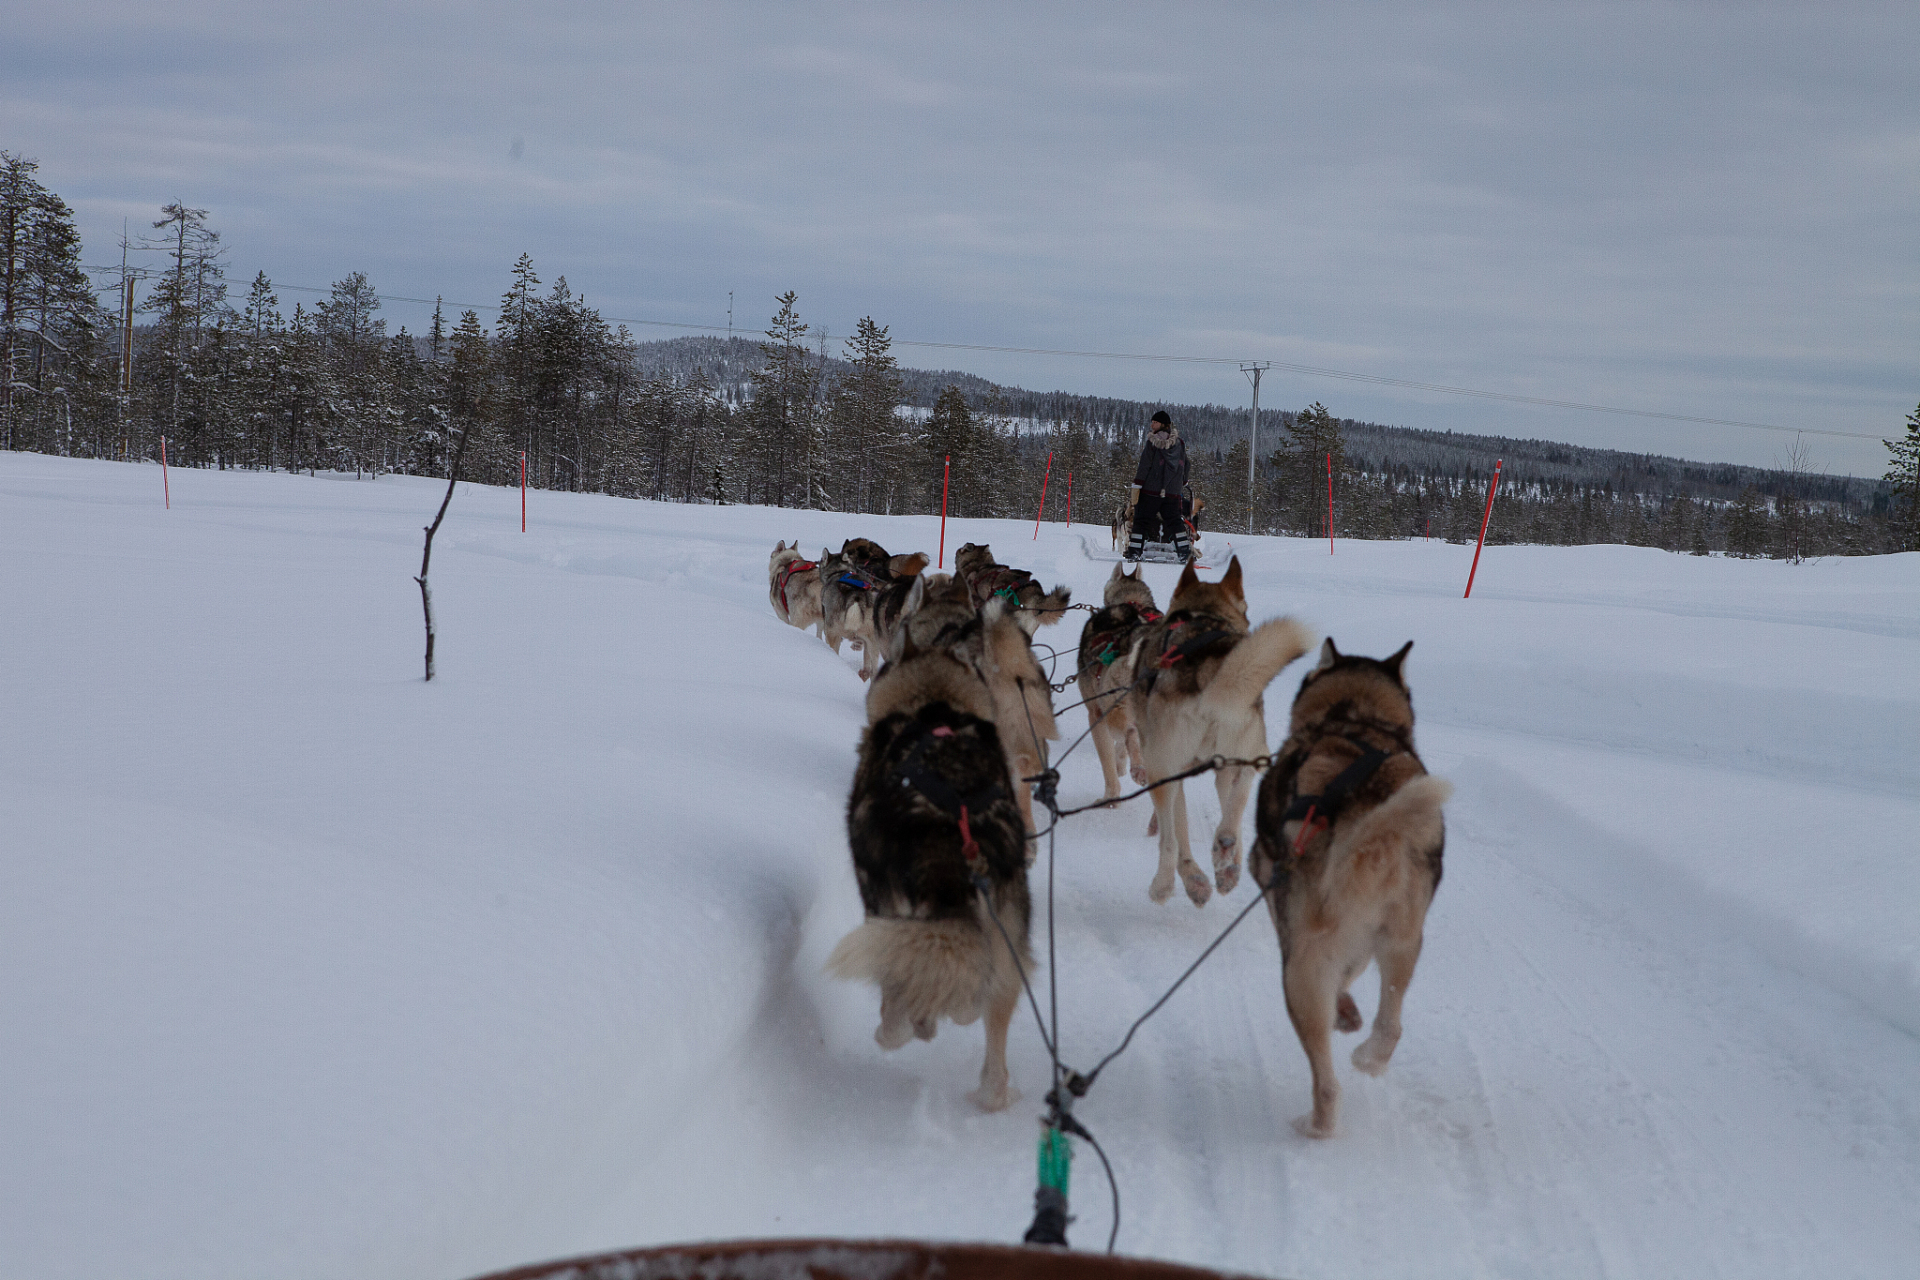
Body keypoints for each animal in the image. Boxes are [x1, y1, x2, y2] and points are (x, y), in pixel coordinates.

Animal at [829, 633, 1036, 1113]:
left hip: (891, 916)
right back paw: (991, 1091)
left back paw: (903, 1028)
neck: (933, 702)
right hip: (1008, 940)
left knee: (899, 1007)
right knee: (987, 1023)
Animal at [1128, 560, 1313, 909]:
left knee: (1169, 841)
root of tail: (1208, 674)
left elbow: (1179, 832)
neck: (1202, 616)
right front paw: (1215, 871)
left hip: (1163, 768)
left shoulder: (1172, 770)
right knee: (1237, 806)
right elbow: (1227, 802)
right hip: (1249, 750)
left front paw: (1190, 878)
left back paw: (1162, 885)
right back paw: (1226, 853)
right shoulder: (1220, 768)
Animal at [1251, 640, 1443, 1143]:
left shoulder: (1281, 905)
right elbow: (1354, 973)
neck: (1354, 718)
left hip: (1300, 971)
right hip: (1404, 939)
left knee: (1327, 1082)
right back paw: (1370, 1056)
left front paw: (1343, 1012)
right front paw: (1351, 1014)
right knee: (1391, 1024)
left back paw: (1315, 1125)